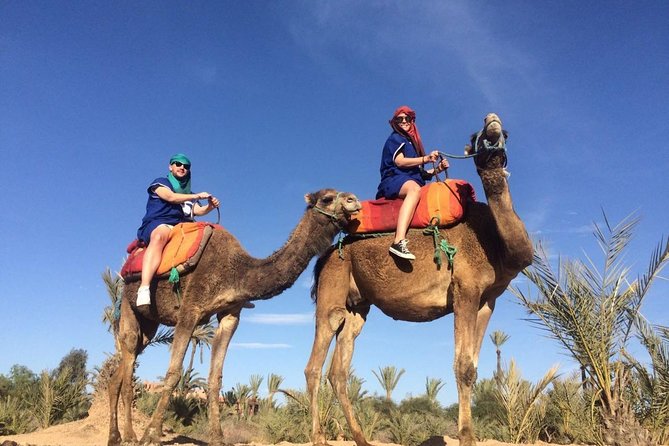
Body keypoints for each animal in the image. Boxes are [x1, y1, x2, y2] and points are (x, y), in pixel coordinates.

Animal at [107, 188, 360, 446]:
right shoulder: (190, 309)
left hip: (149, 324)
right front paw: (150, 434)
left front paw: (217, 437)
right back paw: (130, 435)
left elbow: (215, 377)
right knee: (128, 360)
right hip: (128, 304)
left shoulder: (230, 314)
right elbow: (174, 373)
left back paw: (115, 436)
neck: (236, 272)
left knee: (120, 372)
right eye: (327, 198)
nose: (354, 200)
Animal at [304, 114, 532, 446]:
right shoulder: (465, 288)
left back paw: (361, 438)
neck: (493, 241)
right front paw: (466, 436)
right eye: (475, 136)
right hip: (332, 288)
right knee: (316, 362)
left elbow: (475, 366)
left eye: (504, 132)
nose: (492, 120)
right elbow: (463, 366)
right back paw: (319, 436)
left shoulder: (488, 299)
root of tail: (325, 256)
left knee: (339, 368)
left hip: (357, 304)